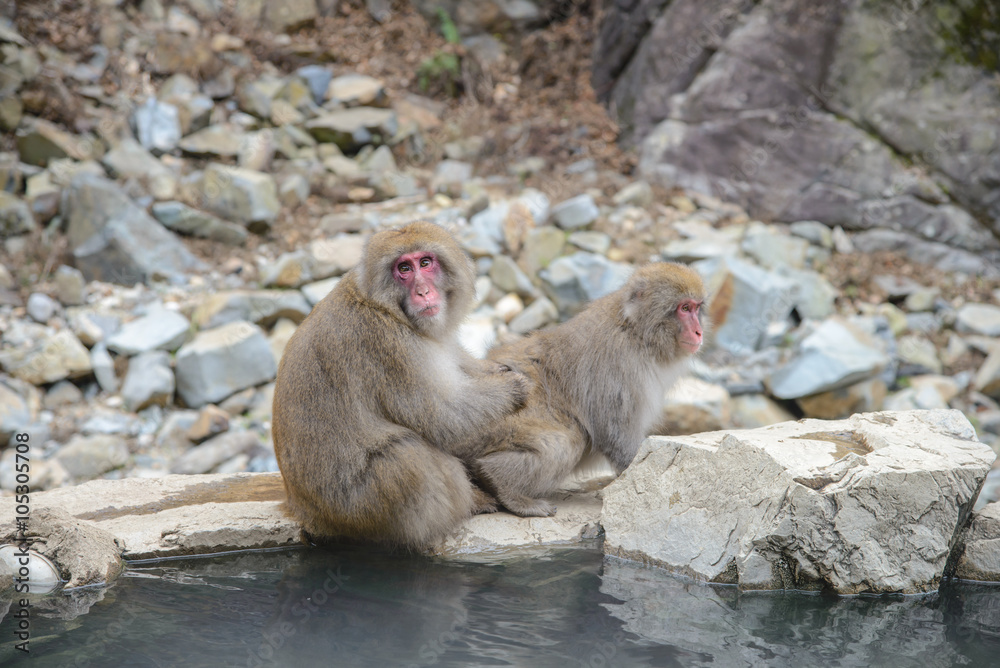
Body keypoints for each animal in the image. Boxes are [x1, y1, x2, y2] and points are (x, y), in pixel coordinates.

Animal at [270, 222, 528, 552]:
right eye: (403, 269)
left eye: (425, 263)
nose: (423, 291)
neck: (385, 306)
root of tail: (302, 509)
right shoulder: (390, 348)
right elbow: (443, 417)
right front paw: (513, 388)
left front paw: (497, 369)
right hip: (357, 508)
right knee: (407, 456)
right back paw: (468, 505)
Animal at [472, 260, 708, 516]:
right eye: (684, 308)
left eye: (696, 308)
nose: (699, 332)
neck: (636, 332)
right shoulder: (619, 364)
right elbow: (614, 432)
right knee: (565, 442)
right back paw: (504, 487)